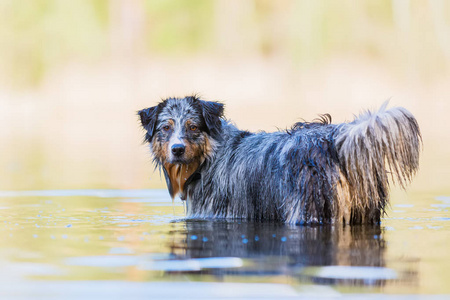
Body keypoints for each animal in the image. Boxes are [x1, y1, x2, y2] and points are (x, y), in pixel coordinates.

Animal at [138, 96, 422, 225]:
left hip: (307, 208)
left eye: (193, 127)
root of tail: (335, 138)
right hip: (365, 211)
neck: (210, 157)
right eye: (165, 128)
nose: (177, 149)